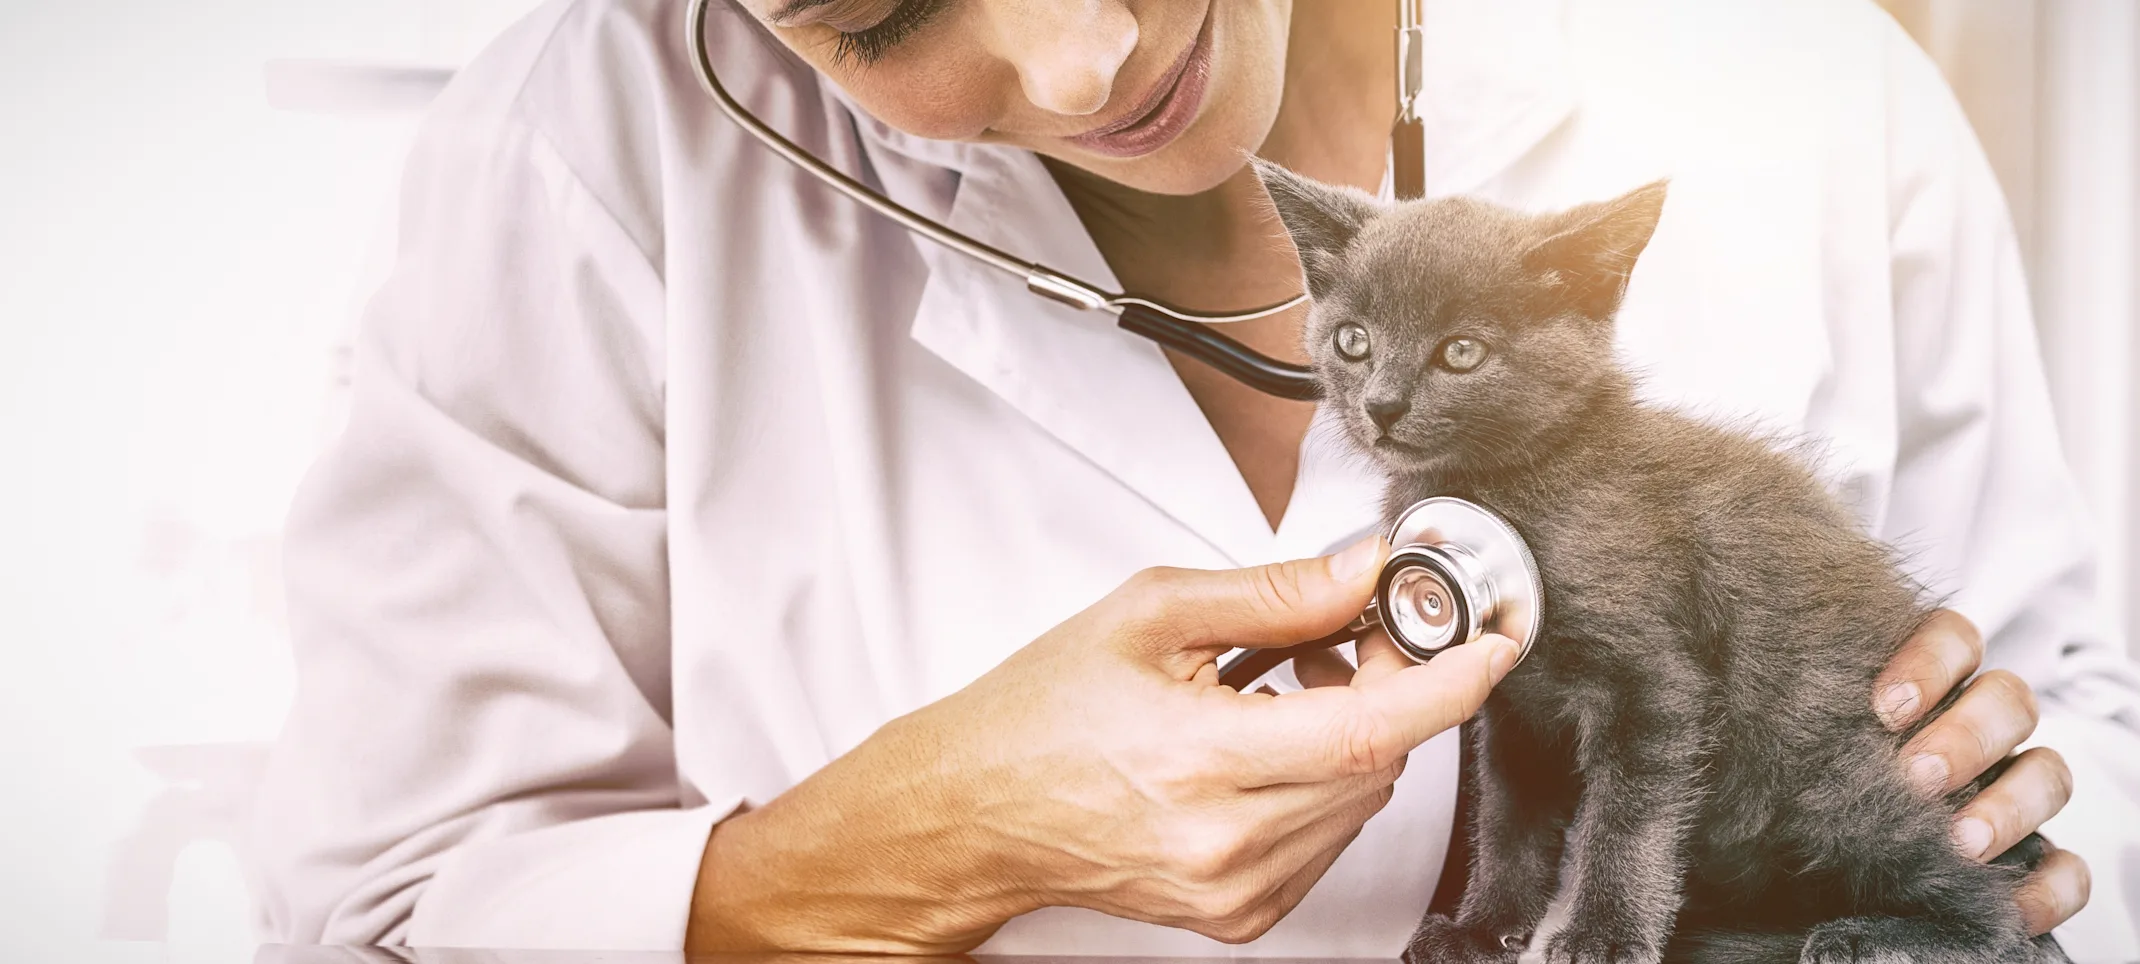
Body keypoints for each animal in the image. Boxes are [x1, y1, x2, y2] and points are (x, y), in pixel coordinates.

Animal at [1258, 161, 2062, 964]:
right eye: (1353, 340)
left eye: (1461, 351)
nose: (1382, 404)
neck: (1507, 489)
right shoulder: (1516, 705)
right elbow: (1510, 822)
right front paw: (1481, 929)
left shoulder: (1658, 685)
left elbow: (1628, 822)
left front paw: (1605, 936)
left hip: (1832, 768)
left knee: (2003, 917)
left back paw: (1868, 935)